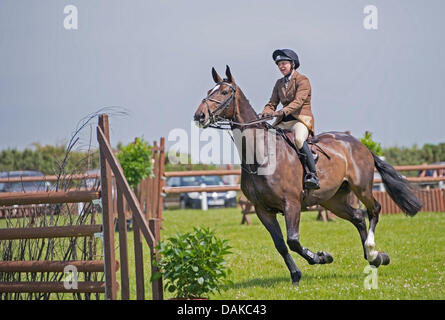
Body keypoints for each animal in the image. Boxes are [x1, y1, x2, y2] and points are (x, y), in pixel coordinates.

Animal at [193, 65, 422, 284]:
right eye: (208, 91)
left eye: (224, 92)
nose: (199, 116)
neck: (260, 155)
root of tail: (359, 144)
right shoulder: (262, 210)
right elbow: (281, 245)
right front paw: (296, 275)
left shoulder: (291, 203)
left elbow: (293, 241)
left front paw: (321, 257)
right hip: (332, 199)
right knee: (358, 216)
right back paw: (374, 257)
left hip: (362, 188)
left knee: (374, 210)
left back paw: (373, 251)